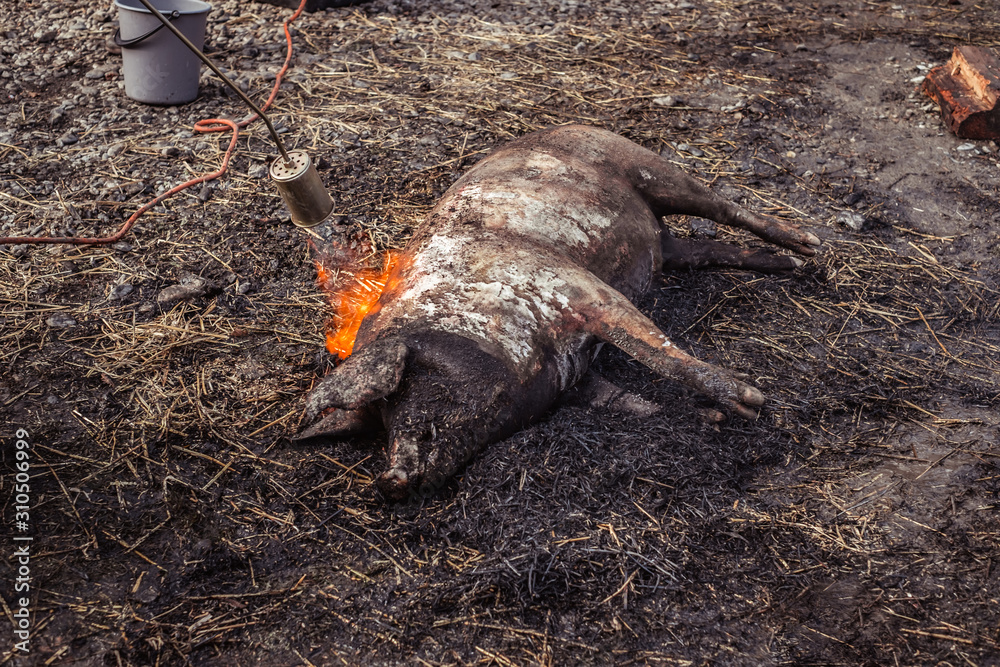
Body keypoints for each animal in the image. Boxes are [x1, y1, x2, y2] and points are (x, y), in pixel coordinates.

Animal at [299, 125, 820, 500]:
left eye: (410, 393)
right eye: (381, 425)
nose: (390, 482)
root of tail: (565, 123)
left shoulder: (582, 290)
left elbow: (653, 350)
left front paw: (751, 403)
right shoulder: (574, 375)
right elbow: (627, 401)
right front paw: (710, 420)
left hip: (647, 166)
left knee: (723, 206)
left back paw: (808, 245)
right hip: (665, 249)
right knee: (702, 248)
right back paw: (790, 265)